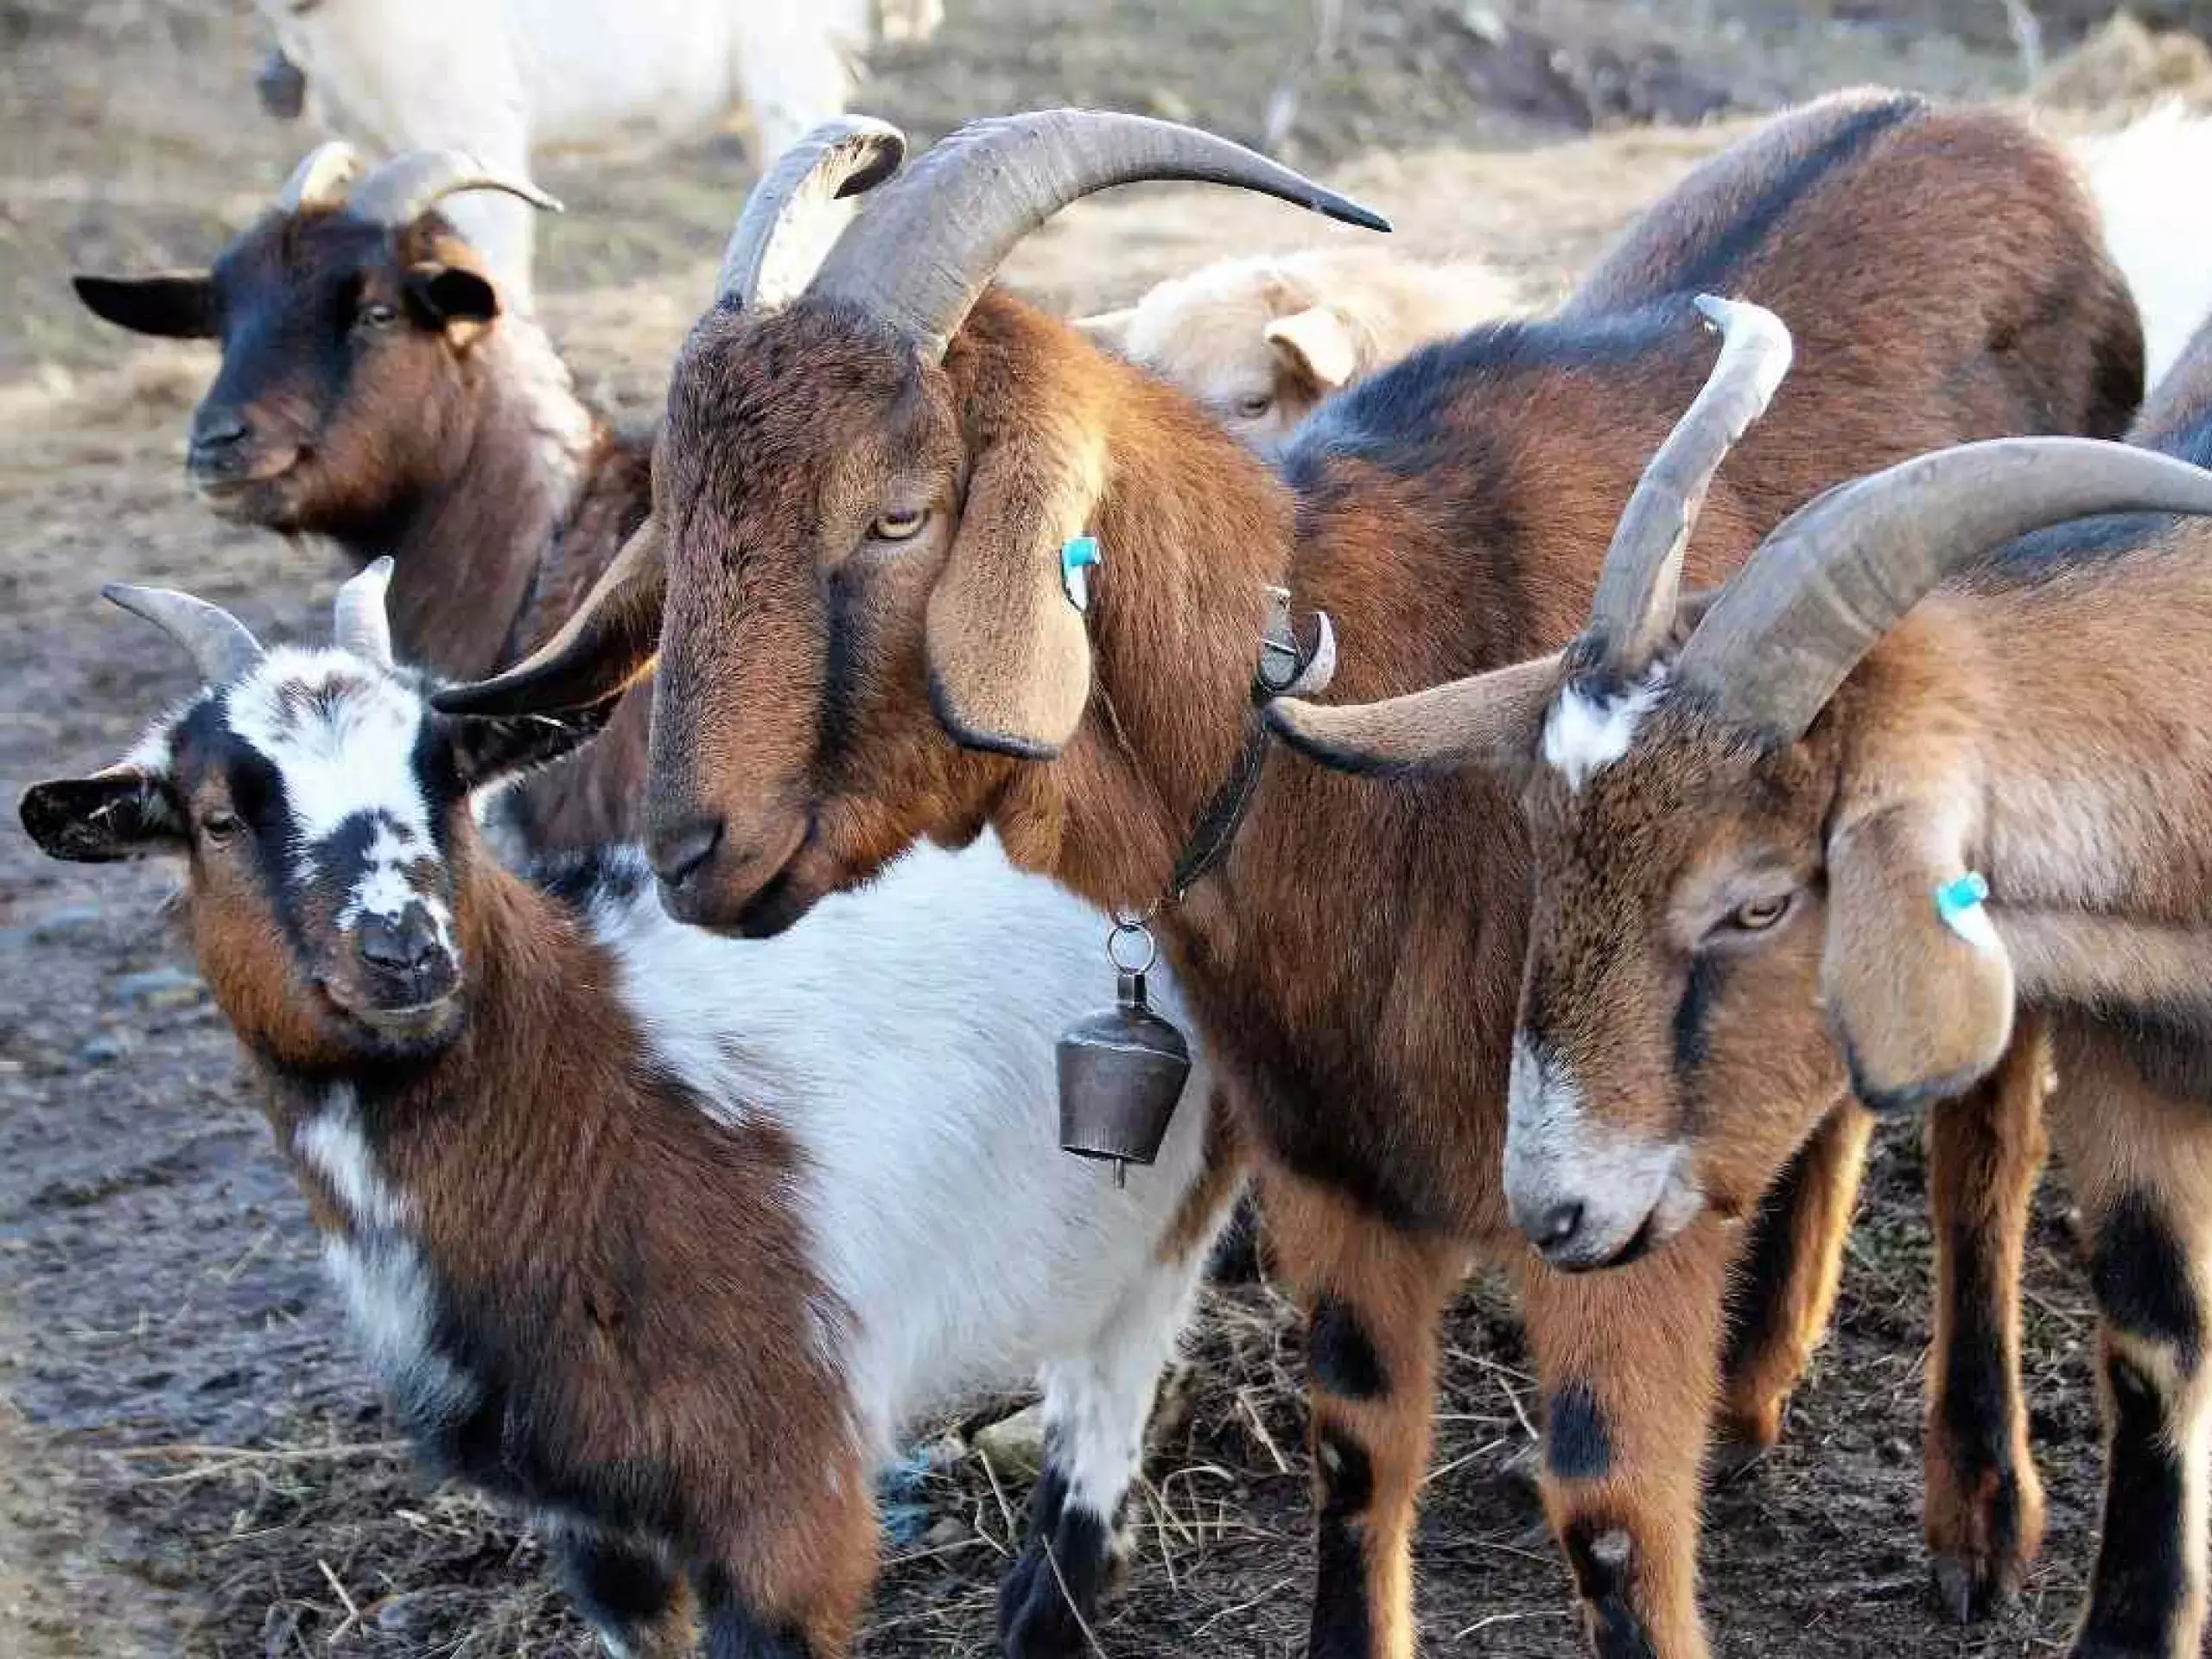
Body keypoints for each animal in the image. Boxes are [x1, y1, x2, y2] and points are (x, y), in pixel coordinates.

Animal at [19, 561, 1238, 1659]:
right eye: (219, 818)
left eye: (445, 780)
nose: (405, 951)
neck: (606, 1088)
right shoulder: (586, 1512)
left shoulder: (785, 1486)